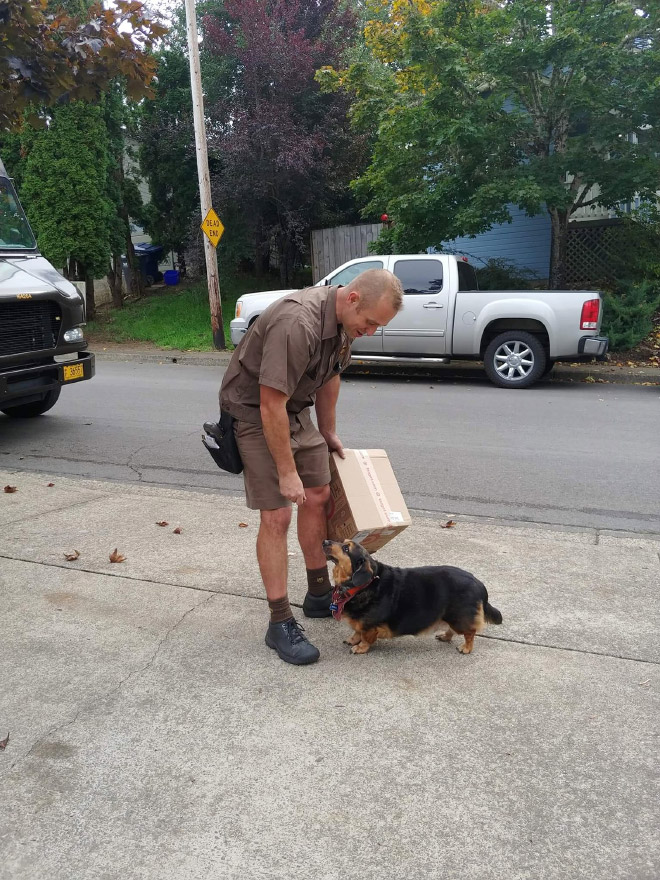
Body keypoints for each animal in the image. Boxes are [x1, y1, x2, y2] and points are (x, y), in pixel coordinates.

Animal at [322, 536, 502, 652]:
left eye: (346, 548)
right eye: (343, 542)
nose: (324, 541)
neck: (363, 585)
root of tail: (478, 583)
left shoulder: (369, 625)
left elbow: (365, 637)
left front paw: (359, 647)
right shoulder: (360, 623)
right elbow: (356, 631)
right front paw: (352, 639)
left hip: (458, 617)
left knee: (470, 632)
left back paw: (466, 648)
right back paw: (445, 636)